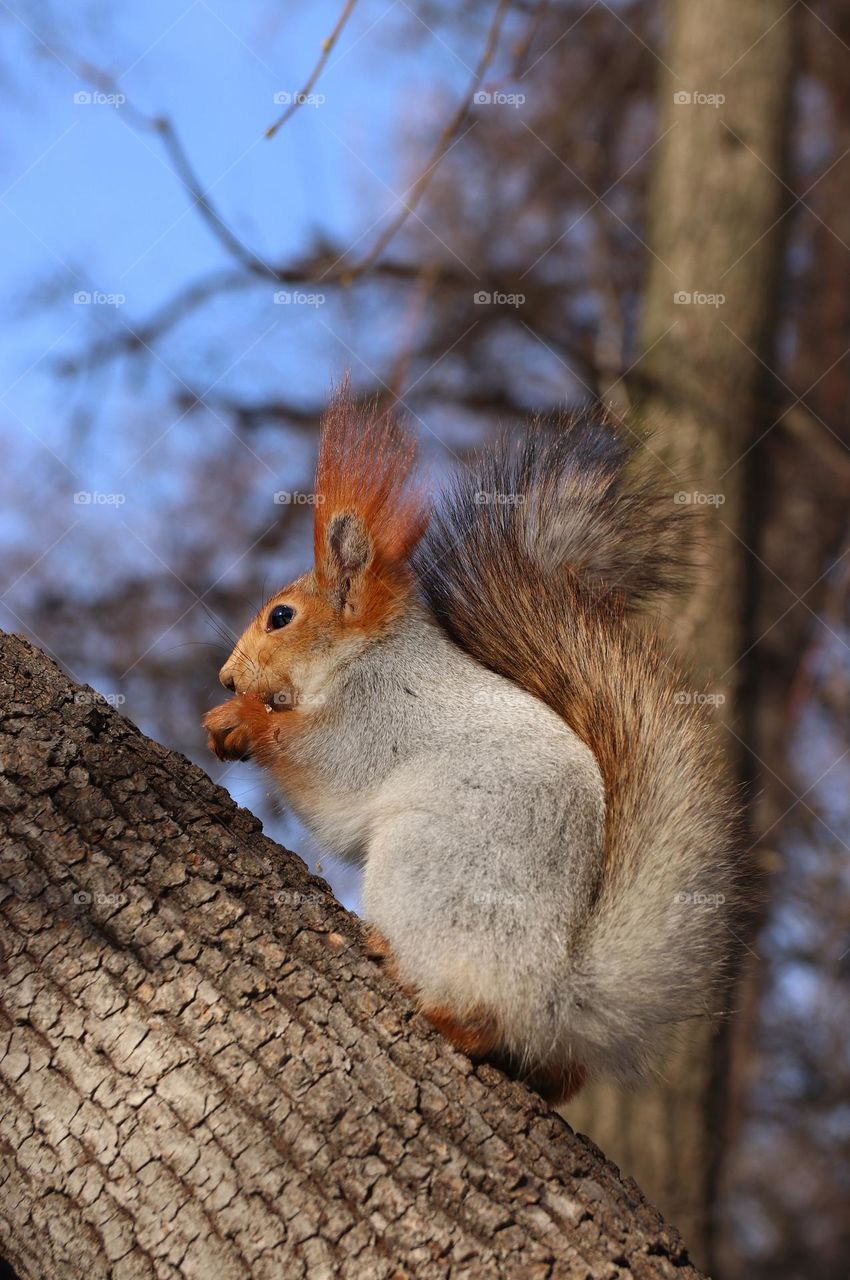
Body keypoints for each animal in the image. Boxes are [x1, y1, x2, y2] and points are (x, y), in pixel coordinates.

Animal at [202, 384, 742, 1105]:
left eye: (280, 617)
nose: (227, 676)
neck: (365, 659)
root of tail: (553, 995)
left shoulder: (376, 721)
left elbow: (326, 778)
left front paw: (241, 719)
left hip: (428, 869)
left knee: (482, 1019)